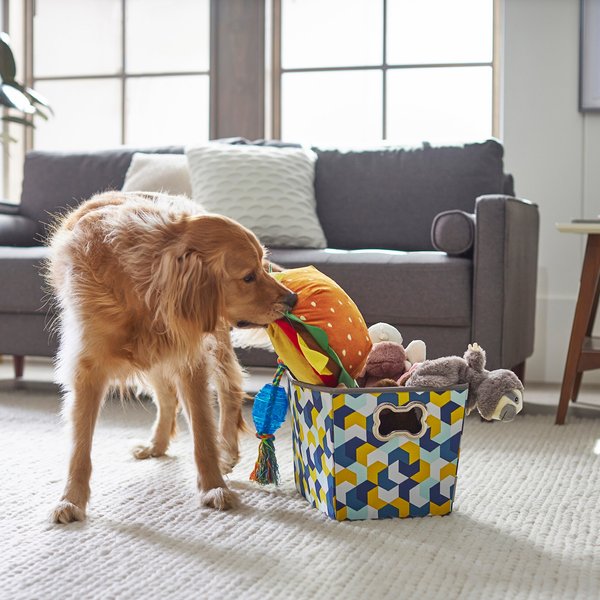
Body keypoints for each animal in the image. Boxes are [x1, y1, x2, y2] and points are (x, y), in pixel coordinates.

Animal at [45, 190, 296, 524]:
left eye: (260, 266)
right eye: (248, 277)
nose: (293, 299)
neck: (138, 287)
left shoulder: (191, 358)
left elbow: (202, 432)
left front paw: (214, 487)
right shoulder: (88, 367)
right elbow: (80, 446)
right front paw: (70, 500)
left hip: (212, 340)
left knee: (230, 389)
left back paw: (227, 449)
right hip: (154, 356)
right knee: (167, 399)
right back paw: (156, 444)